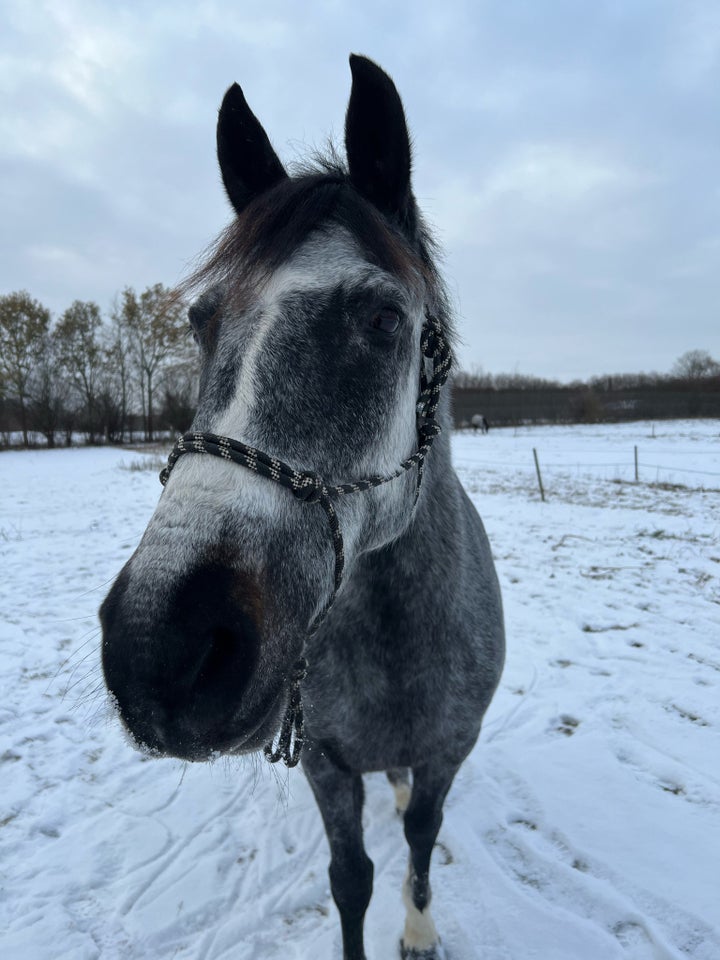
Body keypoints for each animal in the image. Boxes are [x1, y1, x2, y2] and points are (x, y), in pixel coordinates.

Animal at [100, 54, 506, 960]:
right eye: (202, 320)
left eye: (385, 318)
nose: (158, 648)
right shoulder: (325, 762)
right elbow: (349, 878)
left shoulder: (449, 752)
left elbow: (421, 841)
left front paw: (419, 929)